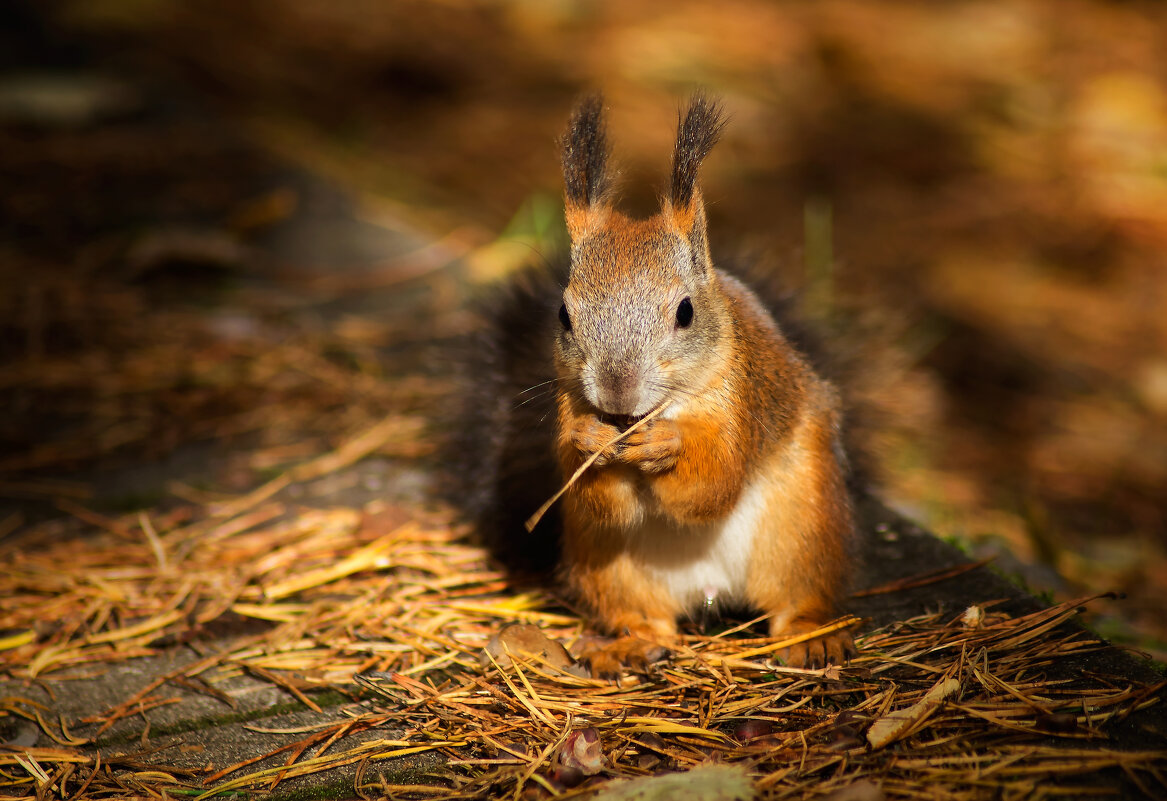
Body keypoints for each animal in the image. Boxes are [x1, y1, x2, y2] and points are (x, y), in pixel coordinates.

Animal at [450, 92, 863, 672]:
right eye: (563, 315)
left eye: (685, 313)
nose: (616, 392)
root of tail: (710, 592)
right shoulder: (568, 408)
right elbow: (597, 496)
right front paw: (589, 441)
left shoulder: (740, 403)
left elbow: (715, 483)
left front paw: (666, 445)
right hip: (609, 563)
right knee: (645, 614)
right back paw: (632, 645)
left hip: (803, 522)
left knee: (796, 594)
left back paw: (810, 635)